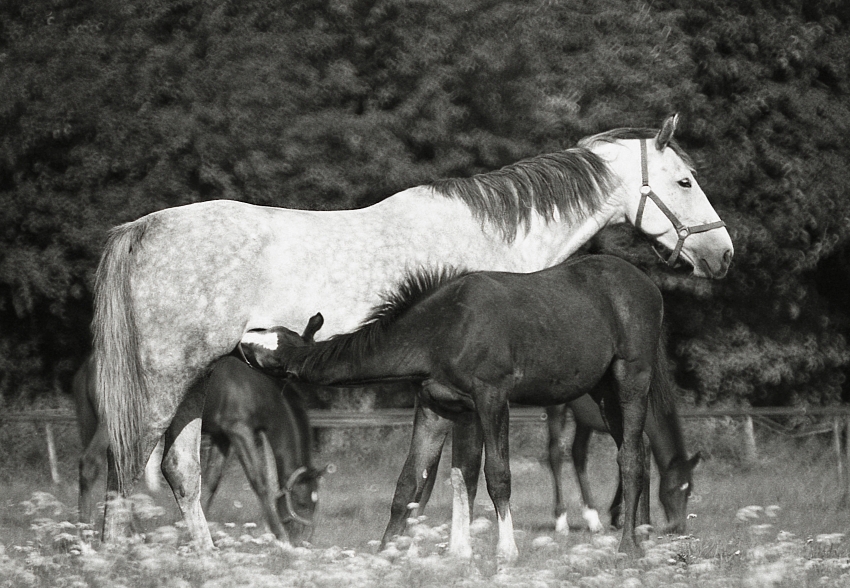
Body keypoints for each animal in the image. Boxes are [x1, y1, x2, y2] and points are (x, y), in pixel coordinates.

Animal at [243, 255, 668, 560]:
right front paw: (390, 557)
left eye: (273, 357)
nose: (243, 341)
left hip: (631, 376)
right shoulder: (438, 407)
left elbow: (496, 475)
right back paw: (644, 539)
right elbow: (416, 481)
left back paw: (628, 547)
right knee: (640, 449)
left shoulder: (492, 398)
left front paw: (505, 553)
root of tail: (650, 285)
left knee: (630, 456)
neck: (443, 330)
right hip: (602, 390)